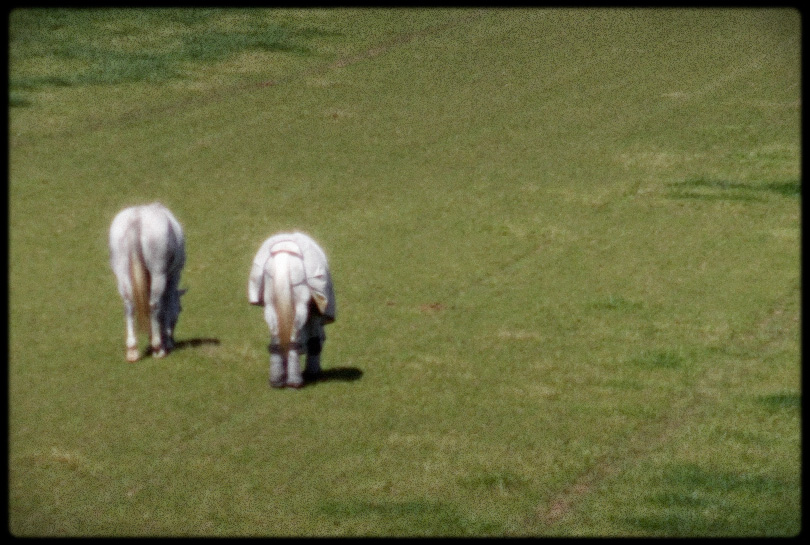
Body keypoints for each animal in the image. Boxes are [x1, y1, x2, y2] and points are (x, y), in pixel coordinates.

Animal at [109, 202, 185, 360]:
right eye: (180, 309)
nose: (173, 341)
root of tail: (136, 218)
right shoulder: (174, 276)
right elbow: (165, 307)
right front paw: (165, 342)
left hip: (122, 273)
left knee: (129, 306)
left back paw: (132, 350)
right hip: (158, 274)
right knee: (153, 305)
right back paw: (158, 349)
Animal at [246, 232, 334, 388]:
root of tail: (284, 252)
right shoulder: (314, 314)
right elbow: (313, 340)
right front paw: (312, 372)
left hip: (271, 304)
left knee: (277, 334)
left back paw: (276, 380)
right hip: (300, 304)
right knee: (294, 333)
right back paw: (295, 381)